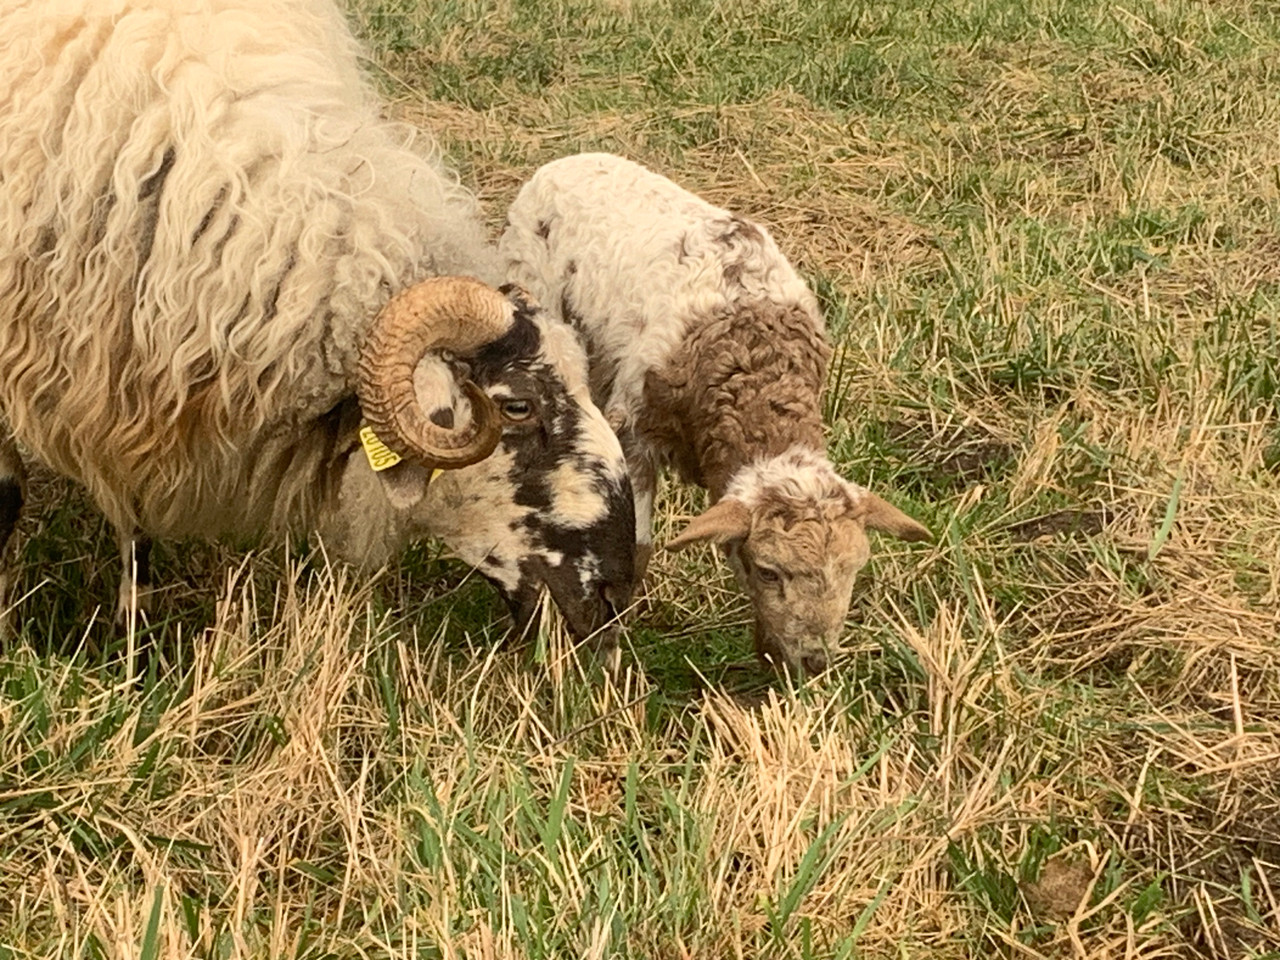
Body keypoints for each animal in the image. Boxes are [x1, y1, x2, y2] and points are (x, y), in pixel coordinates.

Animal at [501, 152, 929, 674]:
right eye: (768, 571)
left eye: (854, 569)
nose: (815, 662)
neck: (755, 363)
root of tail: (569, 159)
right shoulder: (635, 431)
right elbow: (635, 550)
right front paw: (610, 657)